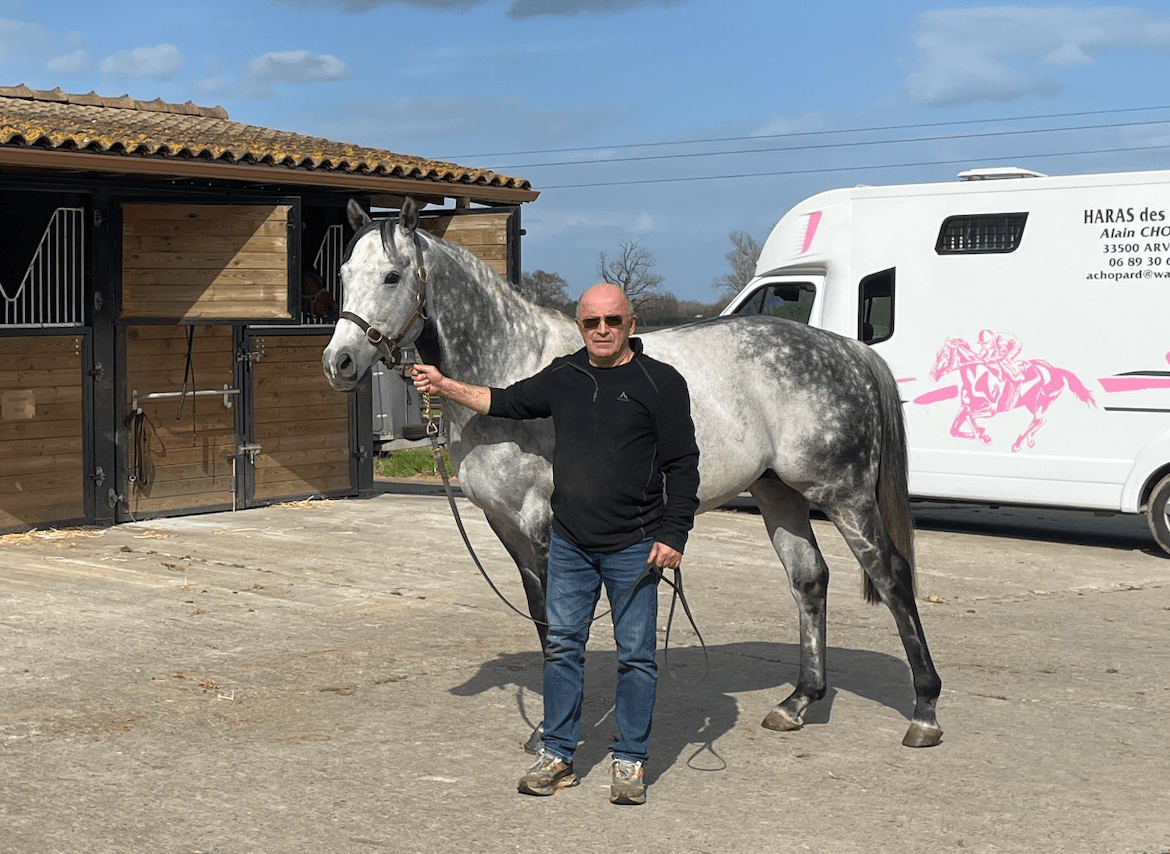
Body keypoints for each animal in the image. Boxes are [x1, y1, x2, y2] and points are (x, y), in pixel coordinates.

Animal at [325, 197, 945, 744]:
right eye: (345, 273)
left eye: (392, 276)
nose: (340, 363)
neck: (511, 371)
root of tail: (848, 351)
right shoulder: (508, 527)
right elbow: (543, 621)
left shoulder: (544, 527)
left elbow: (562, 624)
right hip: (778, 493)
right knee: (809, 579)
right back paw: (797, 703)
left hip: (843, 494)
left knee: (892, 575)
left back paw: (924, 710)